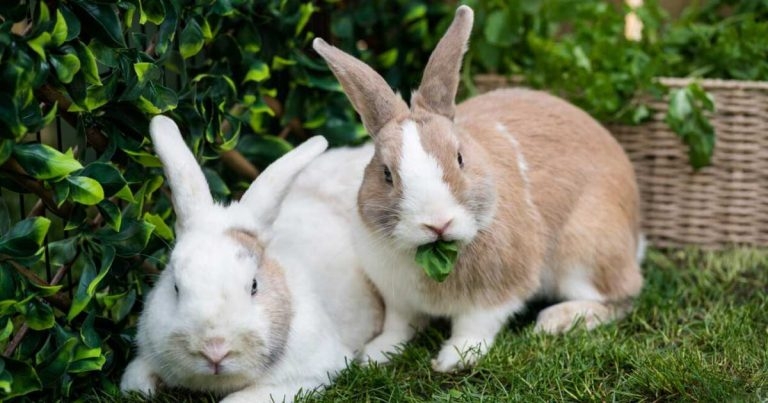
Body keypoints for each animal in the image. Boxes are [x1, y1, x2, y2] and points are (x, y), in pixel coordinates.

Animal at [312, 4, 644, 373]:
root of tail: (634, 234)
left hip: (583, 253)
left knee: (621, 298)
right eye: (386, 174)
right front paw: (375, 354)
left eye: (460, 158)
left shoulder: (497, 292)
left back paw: (556, 320)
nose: (437, 223)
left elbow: (475, 325)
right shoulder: (398, 299)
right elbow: (398, 326)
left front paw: (453, 359)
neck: (433, 254)